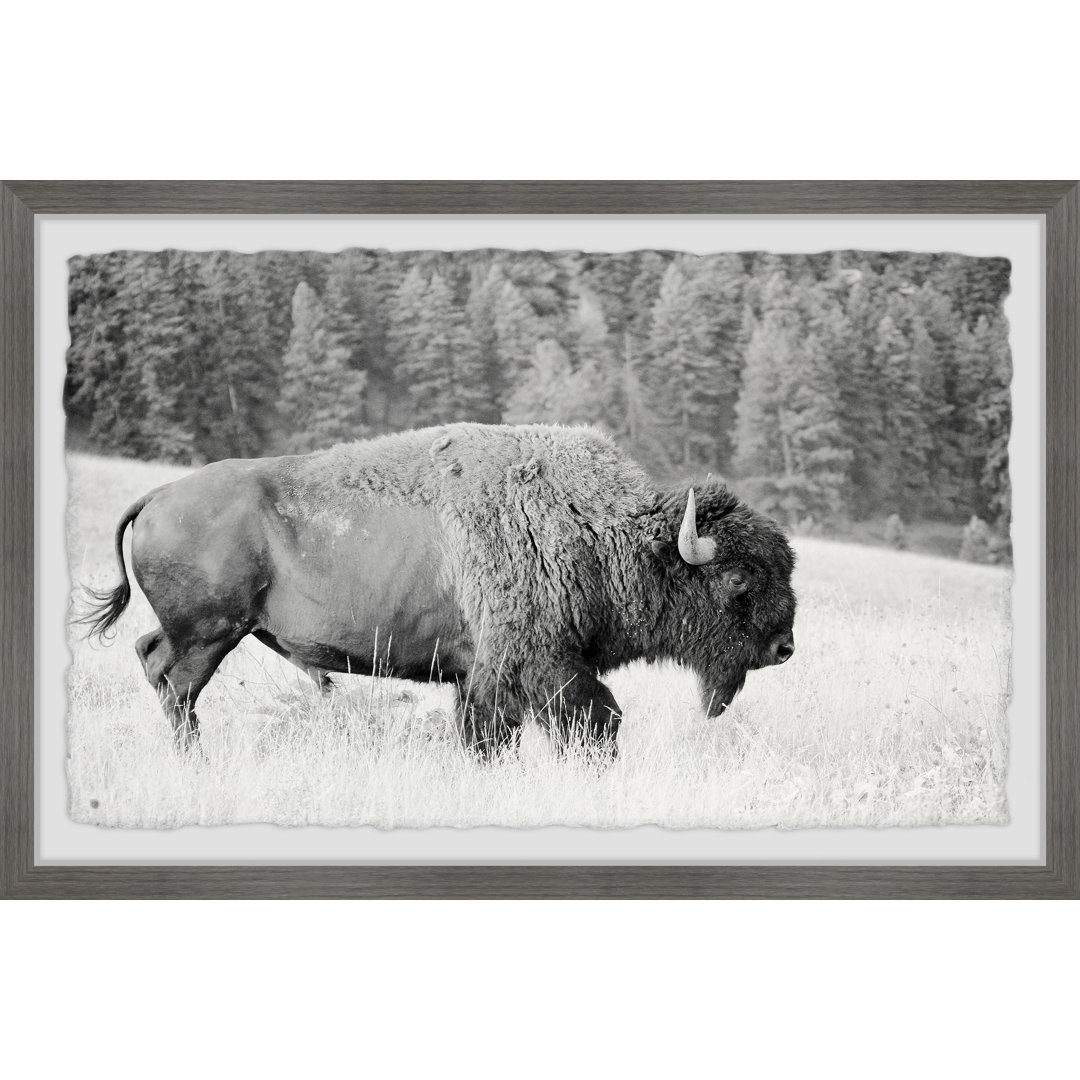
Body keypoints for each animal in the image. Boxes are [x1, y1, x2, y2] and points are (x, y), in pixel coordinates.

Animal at [79, 423, 796, 756]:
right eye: (737, 578)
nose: (784, 647)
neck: (599, 527)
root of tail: (157, 496)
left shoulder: (479, 677)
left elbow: (489, 735)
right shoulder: (540, 666)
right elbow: (594, 721)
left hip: (202, 632)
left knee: (152, 660)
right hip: (209, 634)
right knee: (176, 685)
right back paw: (195, 760)